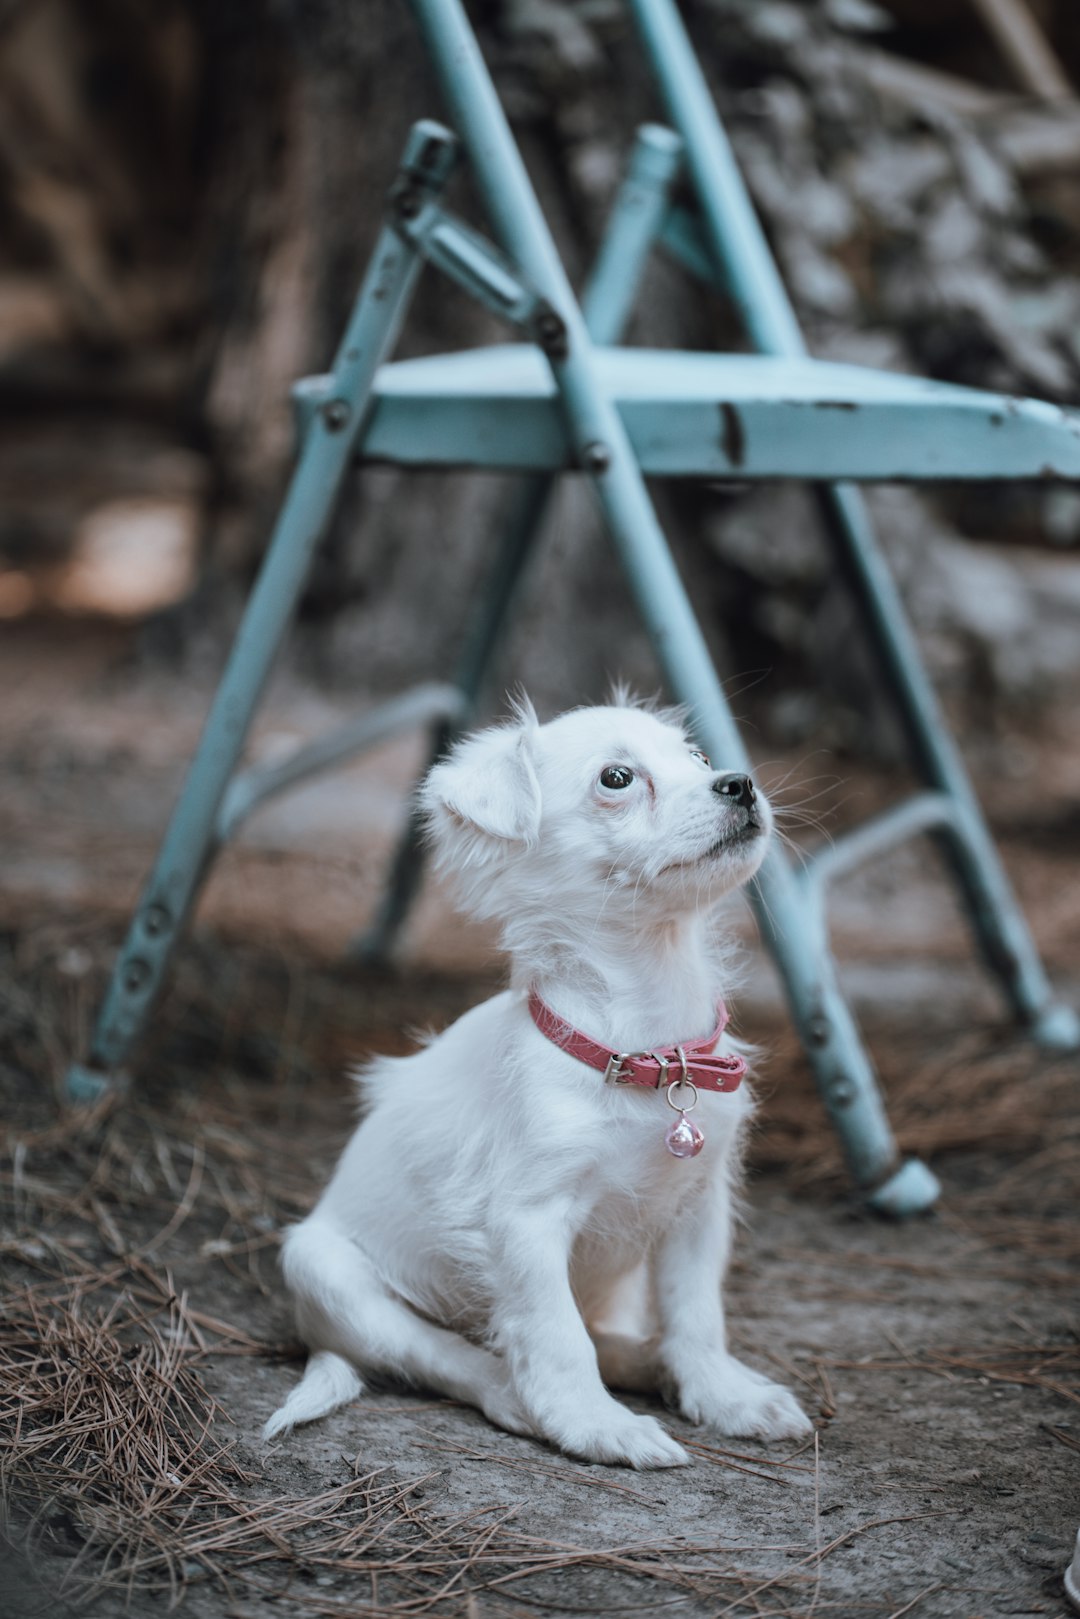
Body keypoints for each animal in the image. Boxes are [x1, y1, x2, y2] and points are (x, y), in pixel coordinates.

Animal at [265, 696, 809, 1470]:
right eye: (617, 778)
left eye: (699, 758)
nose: (739, 782)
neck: (651, 1050)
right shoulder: (526, 1220)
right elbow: (555, 1335)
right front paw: (592, 1423)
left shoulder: (699, 1206)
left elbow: (697, 1314)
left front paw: (722, 1393)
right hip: (324, 1271)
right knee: (456, 1355)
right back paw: (525, 1399)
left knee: (601, 1335)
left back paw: (651, 1362)